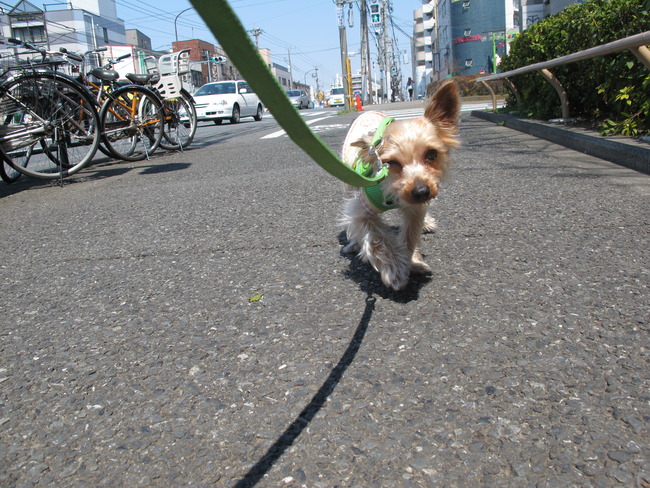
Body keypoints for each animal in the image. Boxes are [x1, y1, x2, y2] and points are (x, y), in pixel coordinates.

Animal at [340, 81, 460, 290]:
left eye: (432, 154)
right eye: (391, 163)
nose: (421, 192)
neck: (391, 192)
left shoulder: (415, 208)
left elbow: (410, 236)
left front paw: (412, 261)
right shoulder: (362, 208)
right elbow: (375, 237)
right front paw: (395, 270)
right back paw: (354, 243)